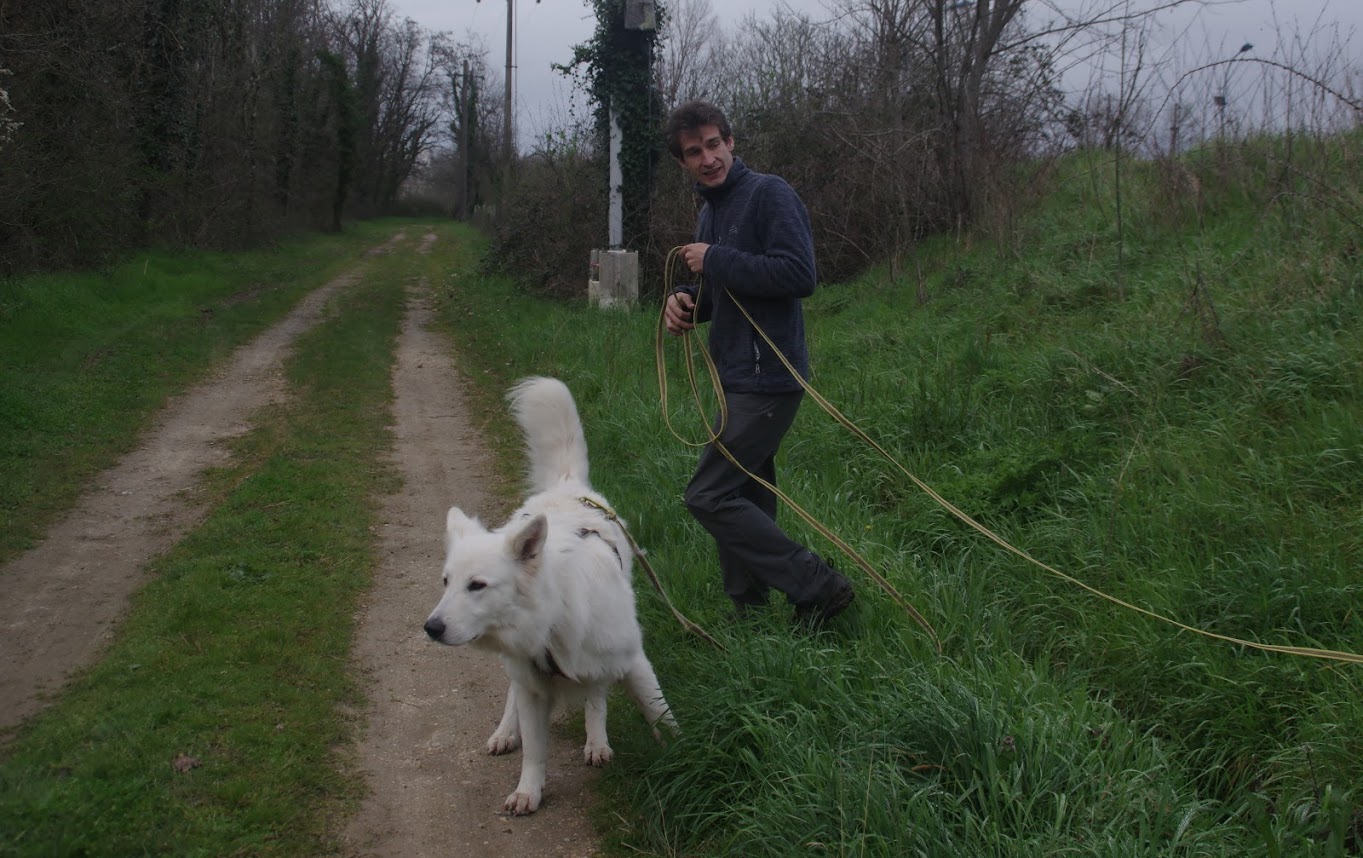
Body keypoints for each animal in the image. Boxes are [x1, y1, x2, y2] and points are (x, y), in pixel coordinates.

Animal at [422, 376, 678, 818]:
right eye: (446, 582)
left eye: (477, 585)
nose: (430, 628)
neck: (552, 622)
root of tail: (567, 486)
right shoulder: (532, 686)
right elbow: (534, 751)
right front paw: (529, 790)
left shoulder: (632, 662)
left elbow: (658, 714)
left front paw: (687, 753)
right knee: (515, 697)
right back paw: (506, 732)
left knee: (596, 694)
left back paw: (596, 740)